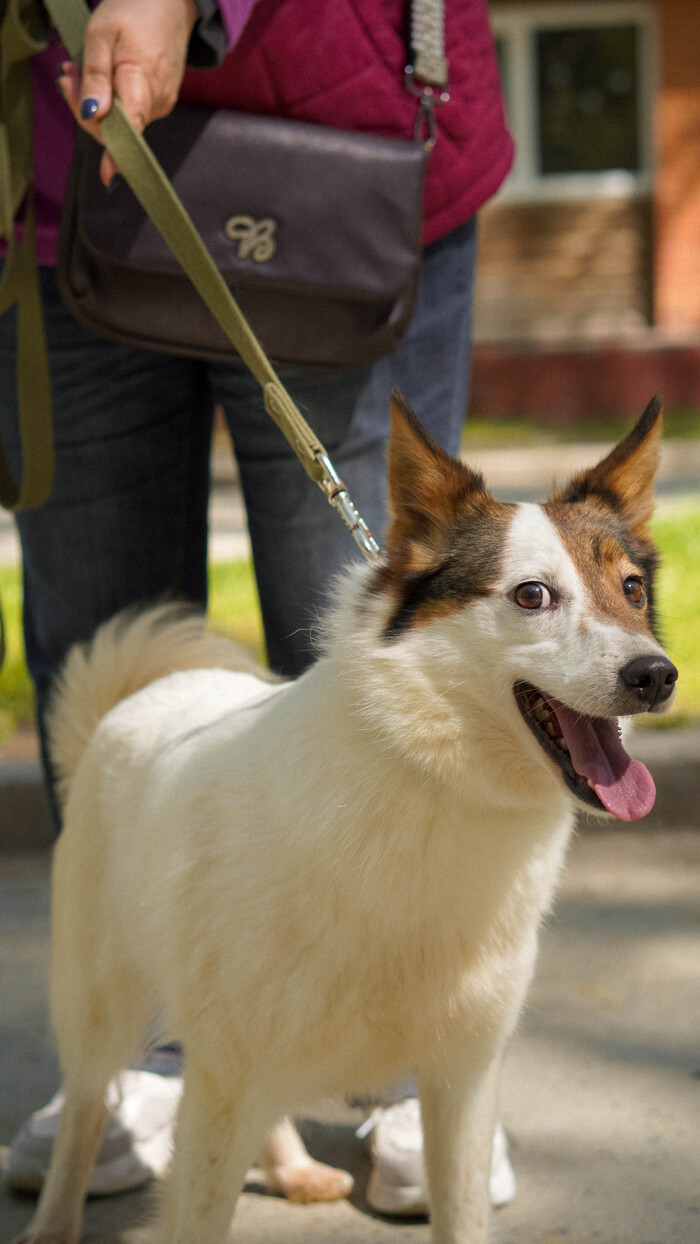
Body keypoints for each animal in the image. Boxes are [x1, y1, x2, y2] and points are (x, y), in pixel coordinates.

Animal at [15, 388, 671, 1244]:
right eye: (532, 595)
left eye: (632, 590)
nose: (658, 675)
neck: (430, 784)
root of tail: (140, 691)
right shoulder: (223, 1078)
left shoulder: (461, 1078)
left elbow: (460, 1213)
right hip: (100, 1003)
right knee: (87, 1110)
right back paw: (54, 1218)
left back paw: (292, 1170)